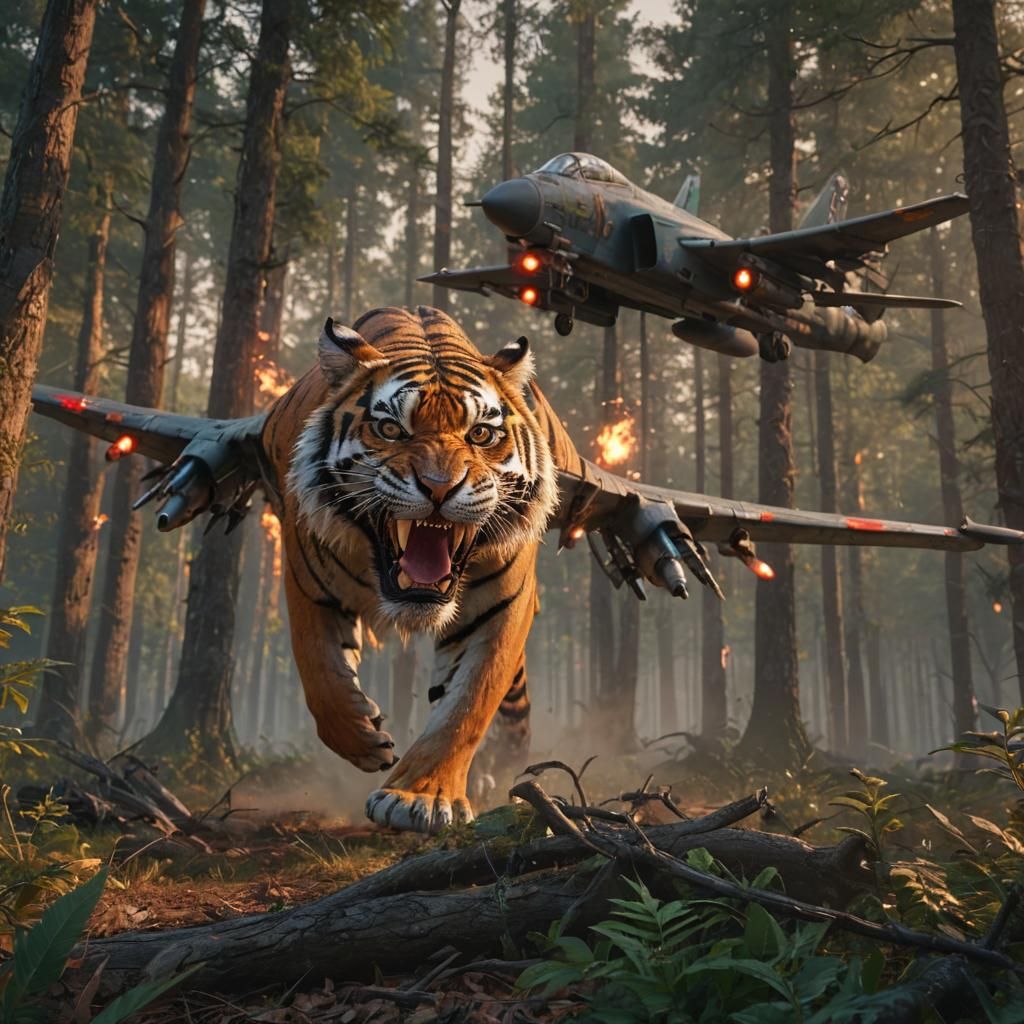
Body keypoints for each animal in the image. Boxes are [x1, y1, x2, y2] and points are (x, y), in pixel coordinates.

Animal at [260, 305, 582, 833]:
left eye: (481, 434)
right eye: (392, 430)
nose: (439, 486)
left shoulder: (501, 607)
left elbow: (467, 705)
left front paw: (420, 797)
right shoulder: (307, 578)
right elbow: (319, 669)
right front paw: (364, 738)